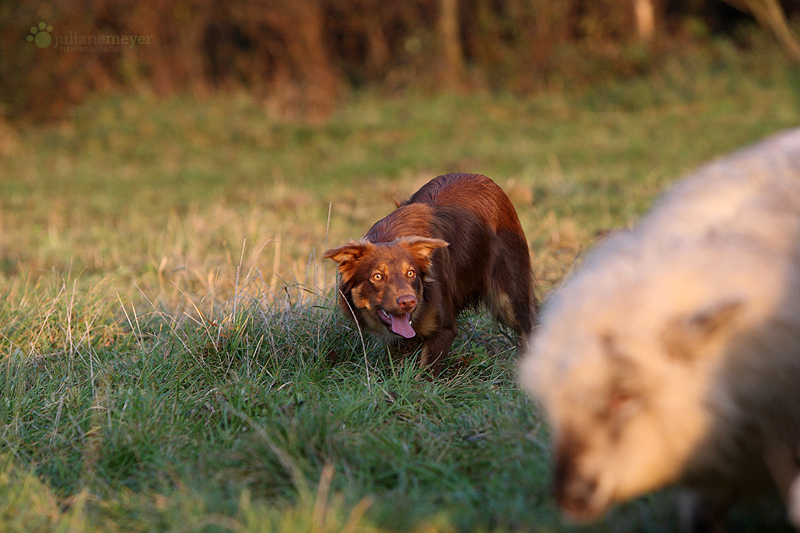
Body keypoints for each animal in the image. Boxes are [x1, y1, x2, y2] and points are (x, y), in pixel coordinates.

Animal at [324, 172, 536, 372]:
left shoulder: (442, 328)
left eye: (411, 273)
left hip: (509, 293)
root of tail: (485, 179)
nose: (408, 302)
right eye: (377, 276)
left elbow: (425, 374)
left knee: (525, 326)